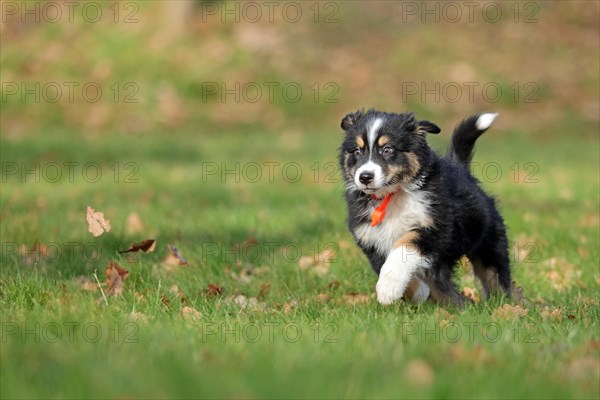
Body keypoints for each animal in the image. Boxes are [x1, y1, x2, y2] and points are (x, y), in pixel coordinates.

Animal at [340, 109, 512, 306]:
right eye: (357, 151)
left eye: (388, 149)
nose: (365, 177)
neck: (392, 195)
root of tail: (462, 171)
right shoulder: (371, 240)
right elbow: (386, 263)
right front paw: (417, 291)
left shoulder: (436, 227)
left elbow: (403, 247)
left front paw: (388, 289)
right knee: (444, 287)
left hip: (489, 248)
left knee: (497, 280)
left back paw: (506, 304)